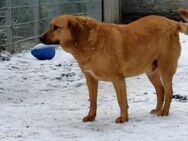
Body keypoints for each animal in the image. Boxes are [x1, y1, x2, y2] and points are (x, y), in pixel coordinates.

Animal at [40, 8, 188, 123]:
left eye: (56, 27)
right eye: (50, 26)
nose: (40, 38)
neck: (89, 42)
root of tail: (171, 22)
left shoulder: (118, 79)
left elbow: (121, 101)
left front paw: (124, 119)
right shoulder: (91, 79)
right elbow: (92, 101)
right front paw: (91, 117)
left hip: (165, 70)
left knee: (169, 92)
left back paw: (164, 112)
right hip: (151, 71)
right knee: (160, 90)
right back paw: (157, 109)